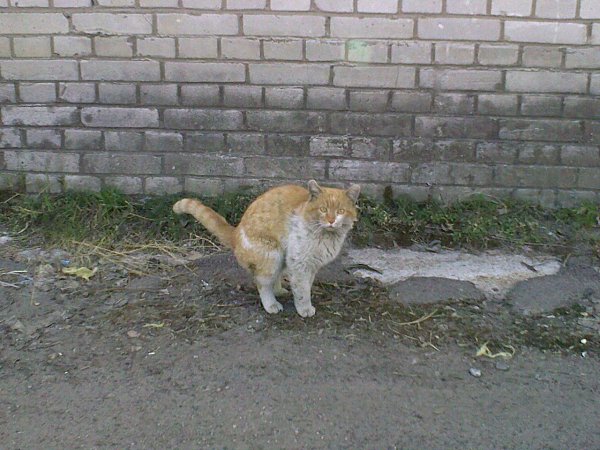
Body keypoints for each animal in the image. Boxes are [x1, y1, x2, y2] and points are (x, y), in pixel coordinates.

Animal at [173, 180, 360, 317]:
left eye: (341, 211)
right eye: (323, 209)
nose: (331, 220)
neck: (326, 236)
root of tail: (235, 233)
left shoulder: (312, 265)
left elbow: (305, 285)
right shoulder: (299, 263)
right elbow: (301, 289)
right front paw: (304, 308)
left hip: (281, 258)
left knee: (274, 280)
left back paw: (280, 291)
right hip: (272, 255)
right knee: (263, 284)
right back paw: (271, 305)